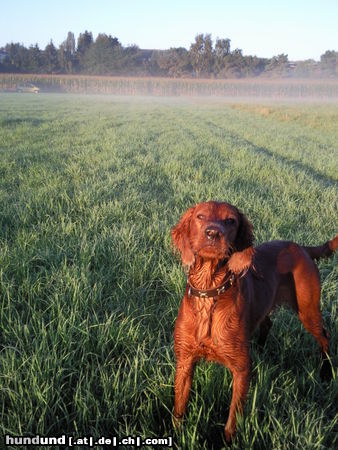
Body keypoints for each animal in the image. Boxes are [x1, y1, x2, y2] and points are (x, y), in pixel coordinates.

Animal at [172, 201, 338, 442]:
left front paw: (227, 442)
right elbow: (179, 409)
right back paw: (259, 349)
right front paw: (176, 435)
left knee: (324, 337)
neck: (210, 291)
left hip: (308, 310)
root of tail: (302, 248)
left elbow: (232, 420)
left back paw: (325, 371)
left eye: (230, 220)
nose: (213, 233)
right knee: (267, 323)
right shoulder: (185, 361)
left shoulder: (241, 369)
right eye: (200, 216)